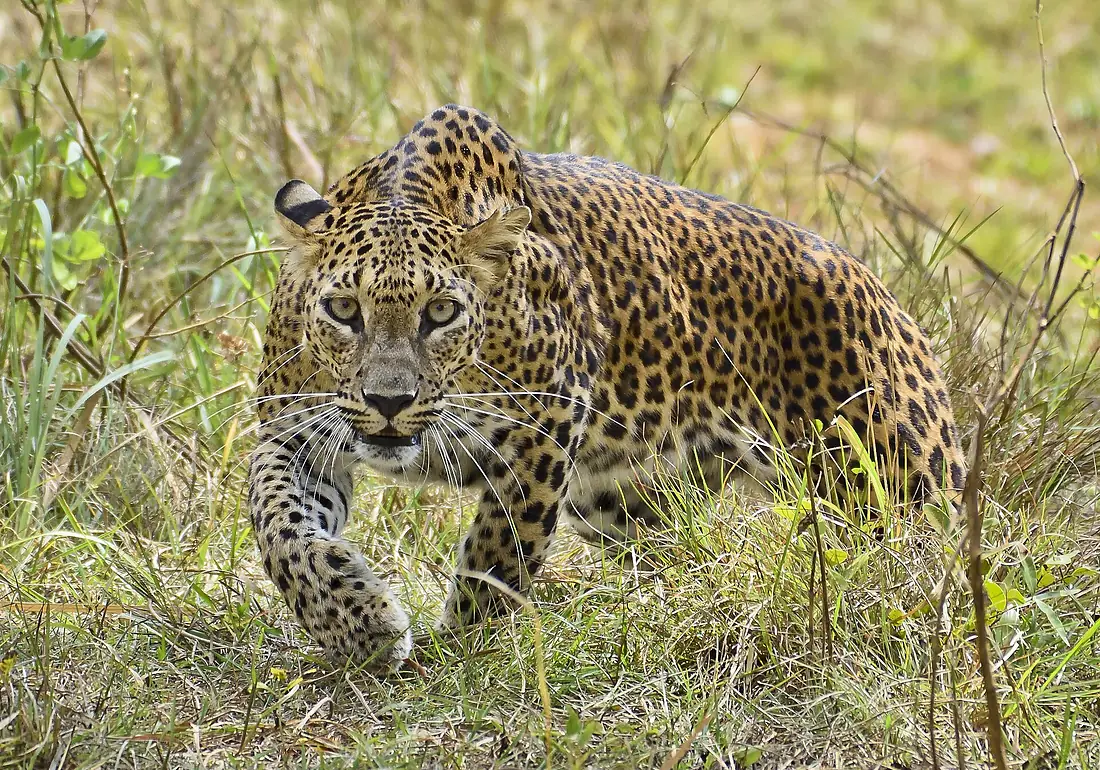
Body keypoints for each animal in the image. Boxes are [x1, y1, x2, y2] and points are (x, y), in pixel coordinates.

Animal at [247, 104, 965, 672]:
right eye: (344, 310)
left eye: (441, 312)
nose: (389, 403)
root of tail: (885, 294)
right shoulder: (293, 432)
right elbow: (279, 527)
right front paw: (359, 625)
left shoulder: (544, 430)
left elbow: (498, 554)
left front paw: (457, 650)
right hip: (622, 501)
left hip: (896, 485)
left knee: (932, 560)